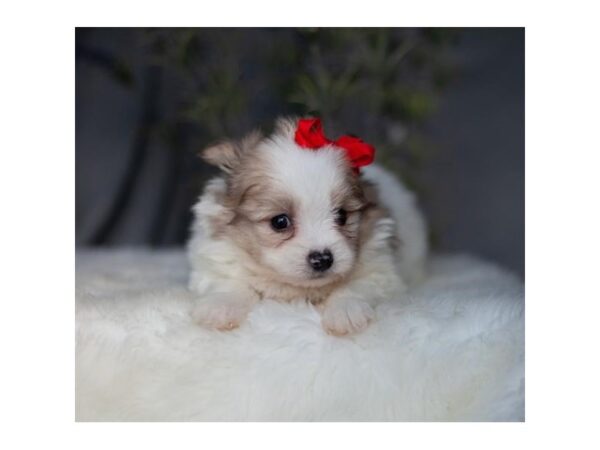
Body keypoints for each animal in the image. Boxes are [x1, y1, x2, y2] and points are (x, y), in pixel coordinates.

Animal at [188, 116, 426, 334]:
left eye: (342, 215)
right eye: (280, 222)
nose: (322, 259)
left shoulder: (381, 270)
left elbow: (355, 286)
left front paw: (346, 311)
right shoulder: (218, 258)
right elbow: (231, 281)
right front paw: (220, 307)